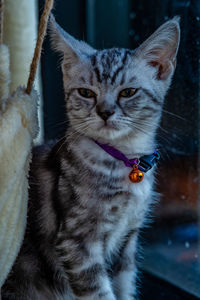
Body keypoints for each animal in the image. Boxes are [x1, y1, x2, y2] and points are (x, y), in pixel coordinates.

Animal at [1, 15, 180, 300]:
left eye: (128, 92)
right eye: (86, 93)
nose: (105, 112)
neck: (122, 160)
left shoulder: (128, 240)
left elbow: (125, 285)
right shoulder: (76, 240)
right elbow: (100, 292)